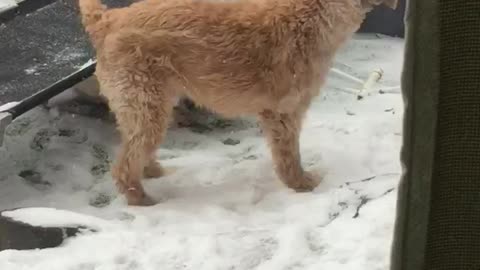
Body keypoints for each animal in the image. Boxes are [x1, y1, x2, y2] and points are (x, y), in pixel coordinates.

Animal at [79, 0, 396, 205]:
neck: (312, 14)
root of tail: (106, 21)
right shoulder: (284, 112)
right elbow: (289, 156)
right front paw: (301, 184)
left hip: (143, 106)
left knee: (134, 149)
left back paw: (152, 171)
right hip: (146, 105)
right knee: (125, 164)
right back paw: (142, 199)